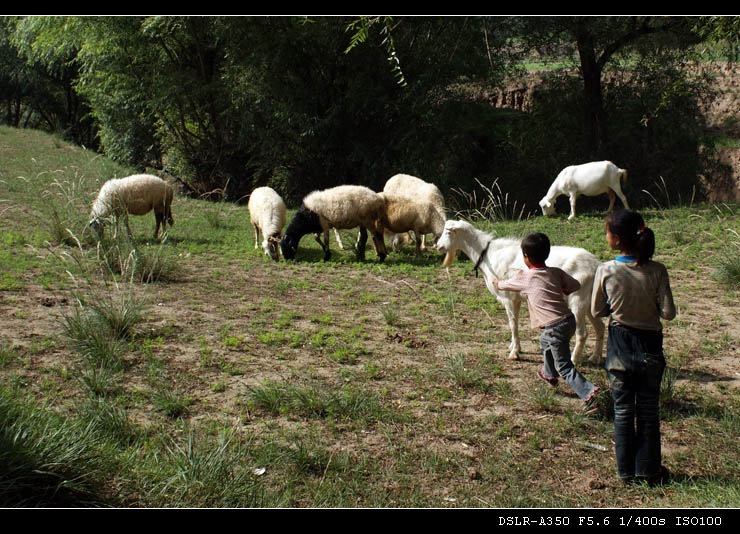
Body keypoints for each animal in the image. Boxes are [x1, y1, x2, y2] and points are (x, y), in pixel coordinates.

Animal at [436, 220, 604, 366]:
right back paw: (594, 358)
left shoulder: (508, 298)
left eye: (448, 232)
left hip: (578, 300)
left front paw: (514, 353)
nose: (437, 246)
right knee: (600, 327)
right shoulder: (516, 299)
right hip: (590, 302)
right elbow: (513, 323)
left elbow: (512, 324)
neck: (488, 255)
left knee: (582, 333)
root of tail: (595, 265)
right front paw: (512, 347)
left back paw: (575, 360)